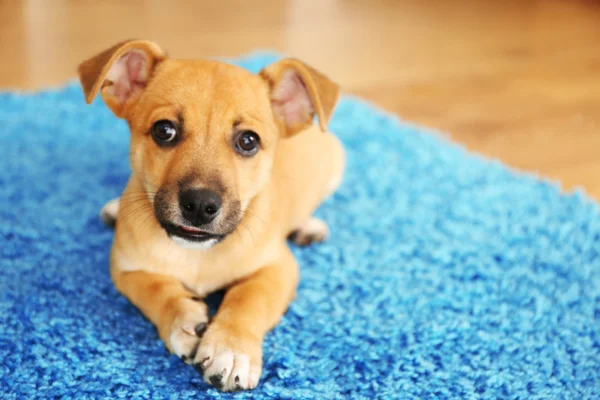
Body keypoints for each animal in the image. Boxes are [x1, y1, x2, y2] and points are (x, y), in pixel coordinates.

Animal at [77, 40, 344, 390]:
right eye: (164, 130)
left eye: (248, 140)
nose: (200, 206)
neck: (198, 253)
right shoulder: (125, 268)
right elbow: (157, 289)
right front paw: (185, 321)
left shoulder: (278, 267)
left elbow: (248, 298)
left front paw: (230, 350)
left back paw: (309, 226)